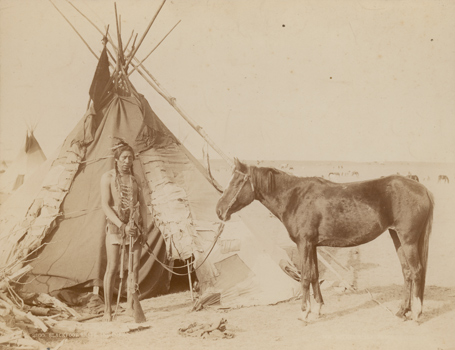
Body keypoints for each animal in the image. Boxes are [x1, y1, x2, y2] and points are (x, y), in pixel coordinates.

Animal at [216, 160, 434, 322]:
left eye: (236, 182)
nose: (219, 210)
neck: (295, 197)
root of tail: (421, 187)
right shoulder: (312, 245)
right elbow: (314, 274)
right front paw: (318, 309)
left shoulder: (303, 244)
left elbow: (305, 276)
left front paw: (303, 313)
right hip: (396, 237)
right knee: (407, 272)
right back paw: (402, 311)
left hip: (408, 240)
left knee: (416, 271)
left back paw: (416, 313)